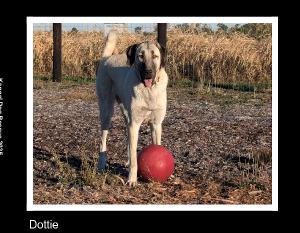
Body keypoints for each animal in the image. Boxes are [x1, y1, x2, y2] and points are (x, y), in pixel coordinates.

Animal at [95, 31, 168, 187]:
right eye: (140, 56)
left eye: (155, 56)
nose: (148, 73)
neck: (149, 90)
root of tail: (106, 58)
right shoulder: (134, 124)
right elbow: (135, 157)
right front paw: (132, 179)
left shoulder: (156, 124)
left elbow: (156, 145)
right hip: (106, 112)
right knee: (103, 141)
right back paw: (101, 164)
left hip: (126, 115)